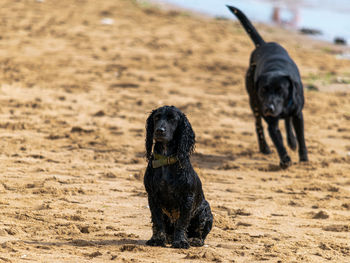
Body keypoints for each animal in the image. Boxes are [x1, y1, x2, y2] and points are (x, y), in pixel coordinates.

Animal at [143, 105, 213, 250]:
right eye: (156, 117)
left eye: (172, 119)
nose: (159, 131)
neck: (166, 159)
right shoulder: (152, 196)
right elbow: (157, 220)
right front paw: (157, 240)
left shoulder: (187, 197)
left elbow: (182, 222)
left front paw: (180, 241)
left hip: (205, 211)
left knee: (201, 234)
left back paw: (195, 240)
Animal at [228, 6, 308, 169]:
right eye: (263, 90)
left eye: (280, 90)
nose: (269, 108)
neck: (276, 69)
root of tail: (263, 44)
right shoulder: (270, 121)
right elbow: (277, 141)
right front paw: (285, 160)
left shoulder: (298, 114)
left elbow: (301, 136)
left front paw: (303, 158)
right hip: (254, 104)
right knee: (258, 125)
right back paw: (264, 147)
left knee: (288, 122)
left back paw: (292, 141)